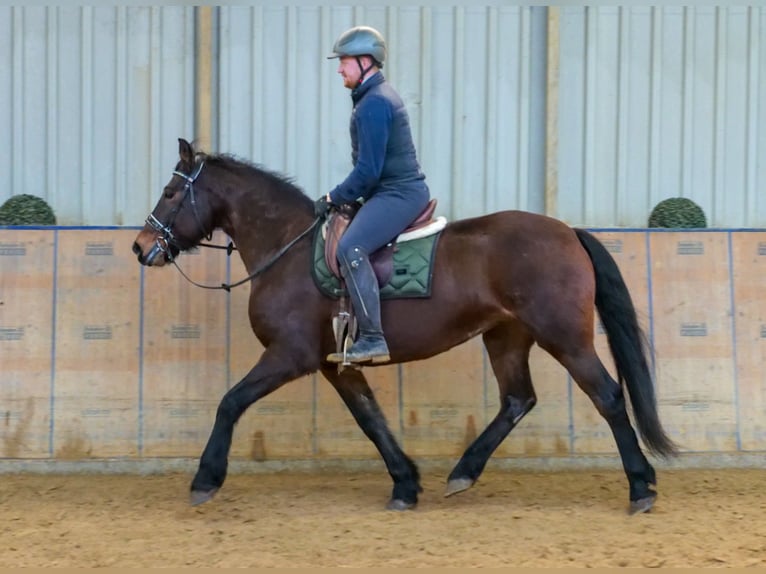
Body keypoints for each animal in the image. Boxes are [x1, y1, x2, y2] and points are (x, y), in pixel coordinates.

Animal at [132, 138, 680, 516]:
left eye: (171, 192)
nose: (141, 247)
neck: (286, 247)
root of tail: (567, 231)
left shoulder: (289, 356)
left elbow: (230, 402)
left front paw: (205, 479)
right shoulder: (336, 364)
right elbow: (370, 419)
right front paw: (405, 483)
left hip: (564, 337)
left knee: (607, 396)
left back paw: (640, 486)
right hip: (505, 336)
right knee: (517, 400)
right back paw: (463, 473)